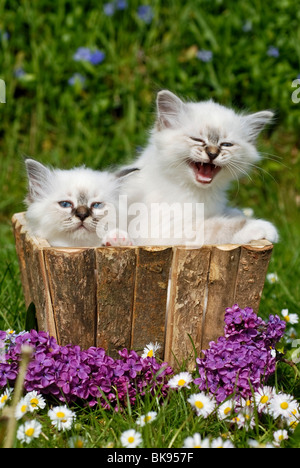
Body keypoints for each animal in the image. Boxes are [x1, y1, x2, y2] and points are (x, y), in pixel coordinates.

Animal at [120, 89, 278, 247]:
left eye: (226, 145)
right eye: (197, 140)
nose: (212, 153)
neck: (200, 192)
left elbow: (227, 214)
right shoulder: (162, 231)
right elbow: (218, 227)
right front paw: (261, 226)